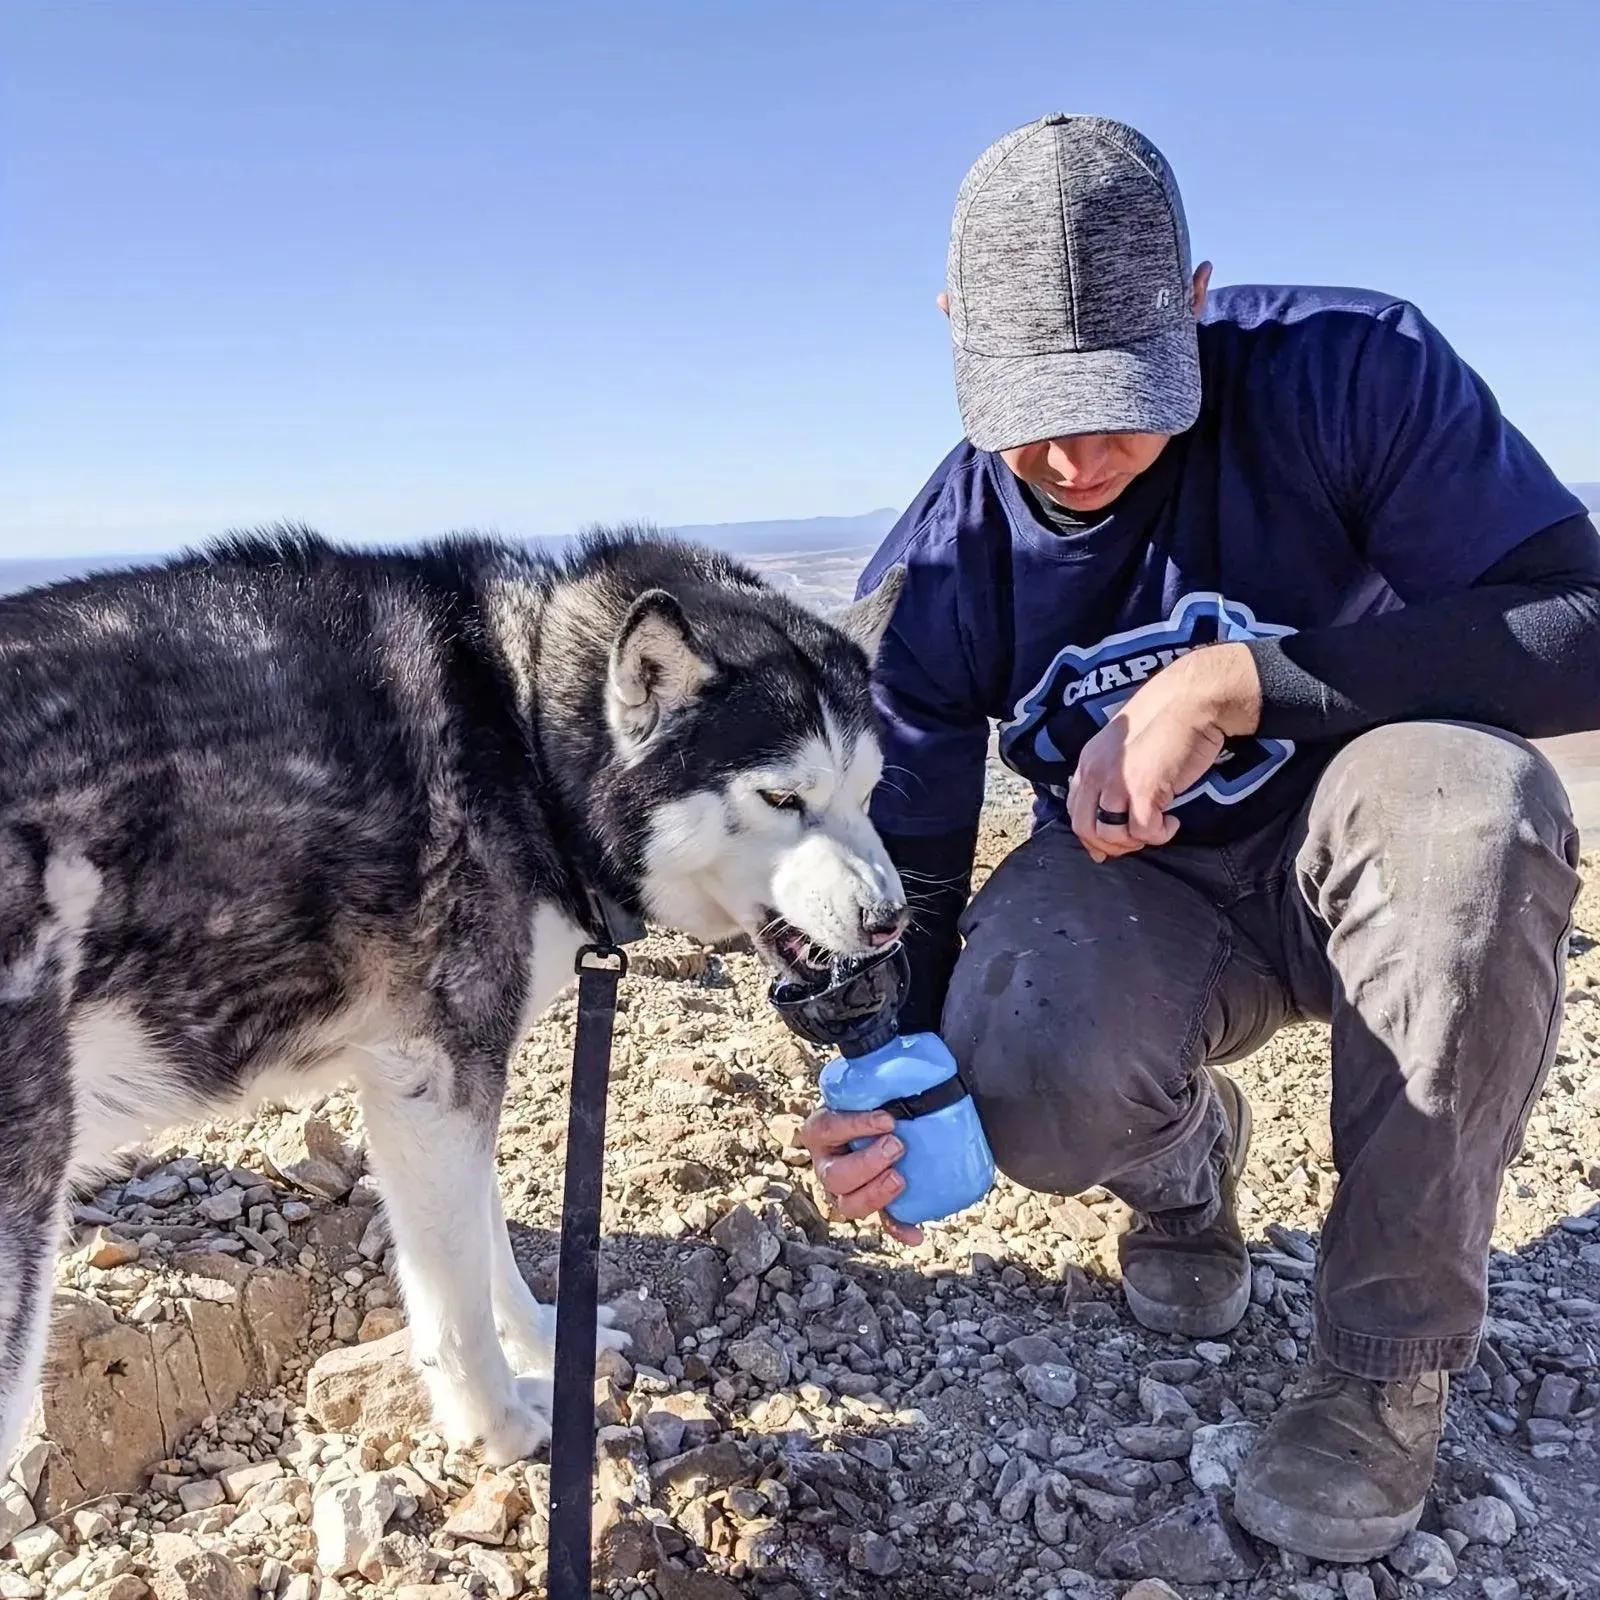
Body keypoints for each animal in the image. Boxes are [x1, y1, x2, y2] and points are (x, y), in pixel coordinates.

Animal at [0, 528, 902, 1472]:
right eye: (781, 797)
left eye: (868, 789)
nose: (891, 921)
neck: (525, 736)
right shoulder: (436, 1076)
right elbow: (455, 1292)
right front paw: (500, 1425)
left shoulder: (430, 1082)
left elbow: (486, 1239)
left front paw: (547, 1341)